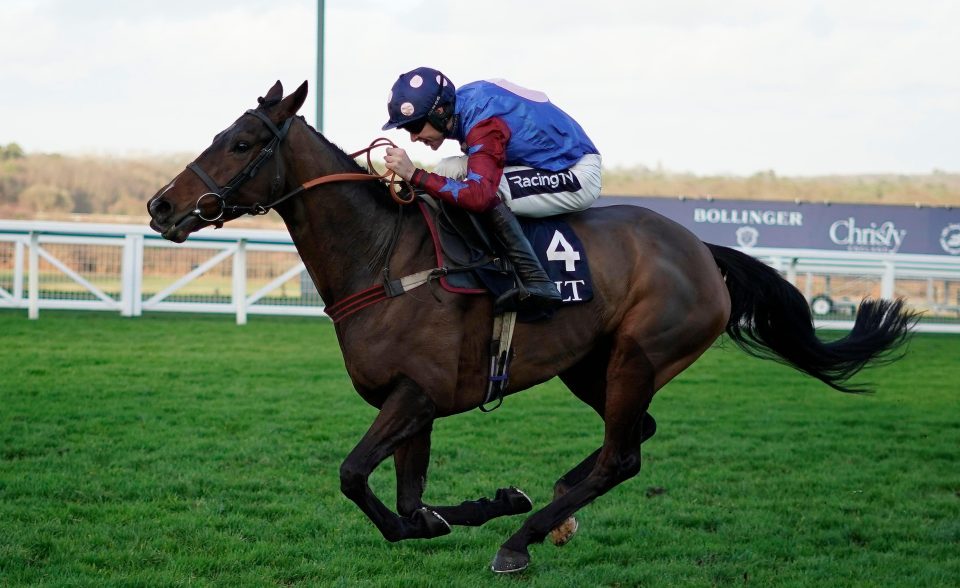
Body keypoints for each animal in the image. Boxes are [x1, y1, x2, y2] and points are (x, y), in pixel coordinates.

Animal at [148, 82, 916, 576]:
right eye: (220, 136)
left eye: (242, 142)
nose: (160, 207)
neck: (384, 257)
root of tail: (701, 250)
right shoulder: (412, 402)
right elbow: (407, 502)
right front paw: (486, 502)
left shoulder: (417, 394)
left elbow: (355, 478)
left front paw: (486, 513)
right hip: (590, 364)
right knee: (635, 433)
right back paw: (554, 508)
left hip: (640, 354)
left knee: (622, 456)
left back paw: (523, 538)